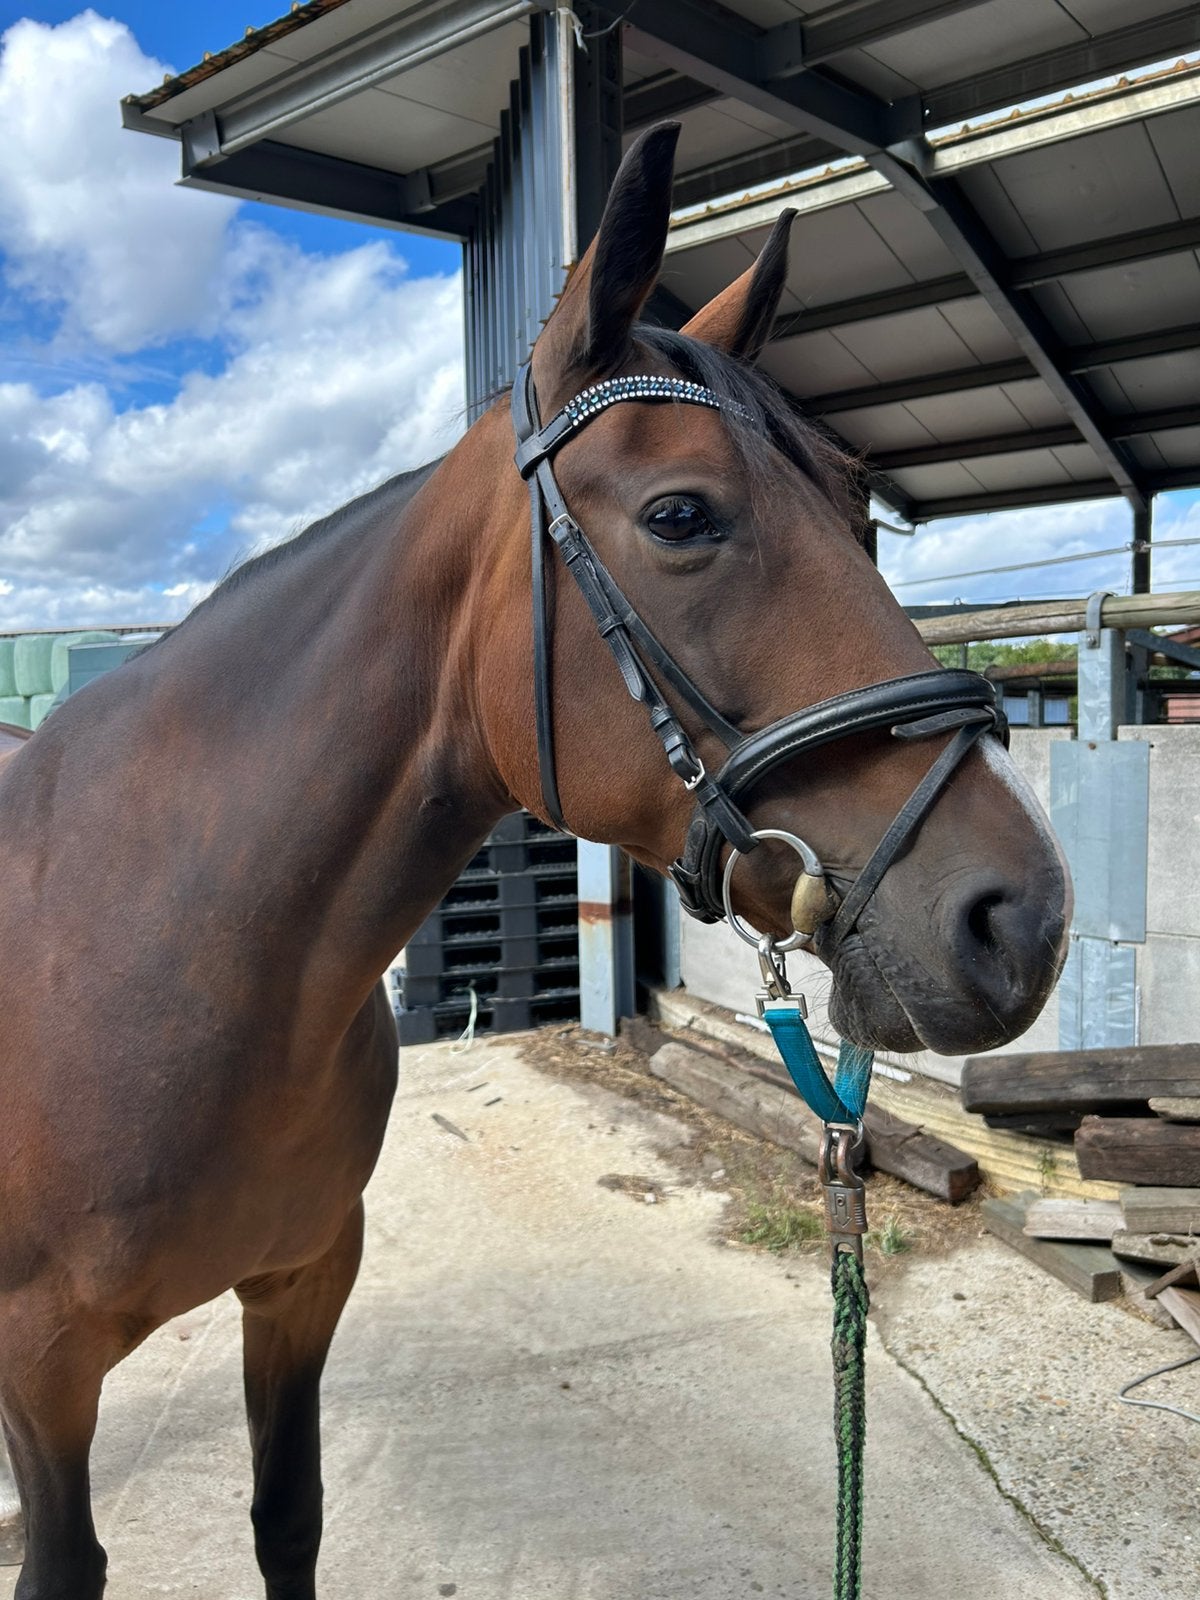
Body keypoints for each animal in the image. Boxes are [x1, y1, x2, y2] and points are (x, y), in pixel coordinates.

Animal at [0, 122, 1068, 1599]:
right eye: (680, 517)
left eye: (862, 510)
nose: (1021, 918)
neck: (151, 954)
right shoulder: (44, 1370)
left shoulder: (301, 1284)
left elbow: (289, 1516)